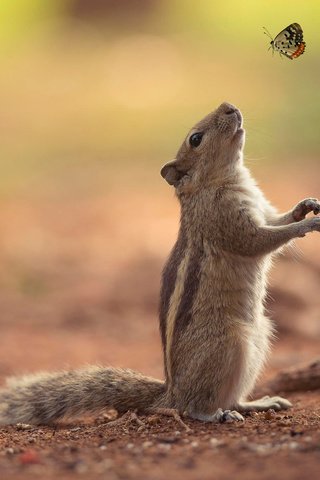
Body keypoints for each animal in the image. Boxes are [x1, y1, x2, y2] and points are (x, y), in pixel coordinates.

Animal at [0, 102, 320, 424]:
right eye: (195, 139)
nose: (228, 106)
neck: (221, 181)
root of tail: (171, 391)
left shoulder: (262, 209)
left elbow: (277, 221)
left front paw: (305, 206)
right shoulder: (225, 220)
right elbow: (259, 240)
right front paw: (308, 223)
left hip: (260, 337)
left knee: (232, 398)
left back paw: (260, 403)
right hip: (228, 343)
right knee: (193, 407)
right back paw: (216, 415)